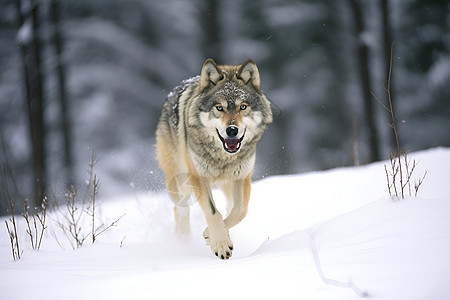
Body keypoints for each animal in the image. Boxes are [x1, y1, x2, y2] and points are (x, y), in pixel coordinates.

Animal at [156, 58, 272, 260]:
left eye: (243, 107)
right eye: (219, 108)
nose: (232, 130)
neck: (222, 158)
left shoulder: (242, 177)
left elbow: (240, 211)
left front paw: (210, 235)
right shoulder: (198, 177)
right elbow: (212, 212)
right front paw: (220, 243)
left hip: (225, 184)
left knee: (229, 205)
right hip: (180, 182)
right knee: (180, 209)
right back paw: (182, 241)